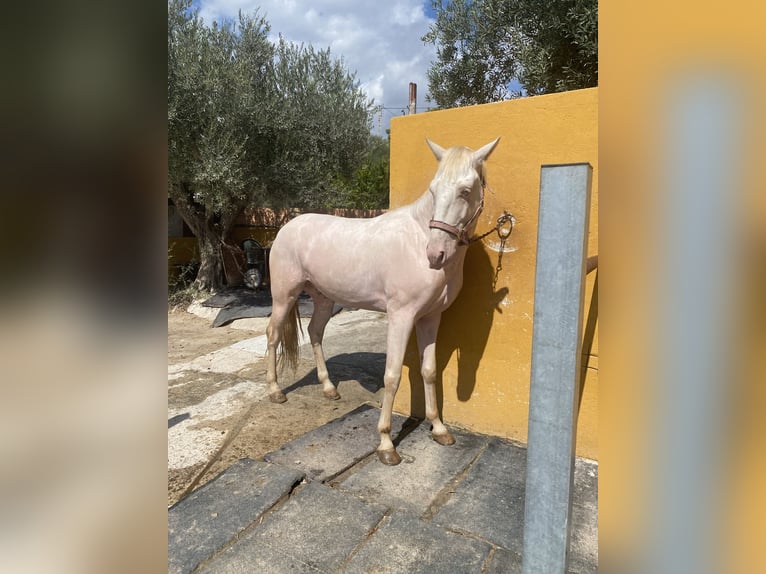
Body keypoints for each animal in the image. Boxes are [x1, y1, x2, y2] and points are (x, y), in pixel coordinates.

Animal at [268, 140, 500, 468]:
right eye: (433, 189)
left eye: (465, 190)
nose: (435, 254)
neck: (417, 240)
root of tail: (287, 227)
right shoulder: (401, 317)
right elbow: (392, 376)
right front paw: (386, 444)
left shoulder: (430, 318)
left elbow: (429, 371)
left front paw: (439, 428)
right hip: (283, 296)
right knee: (273, 334)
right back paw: (276, 391)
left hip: (324, 299)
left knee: (314, 333)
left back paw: (328, 388)